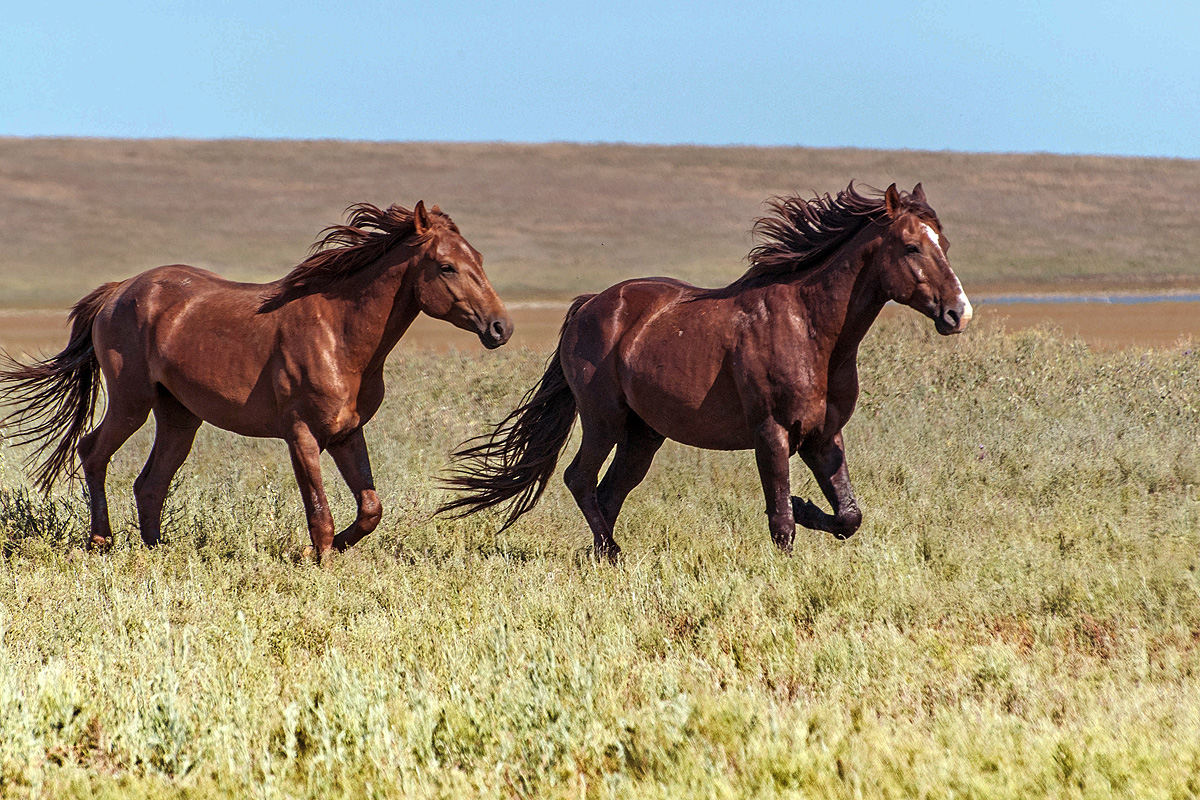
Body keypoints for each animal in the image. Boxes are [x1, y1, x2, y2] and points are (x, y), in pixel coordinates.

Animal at [0, 200, 511, 554]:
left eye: (482, 259)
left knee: (149, 484)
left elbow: (370, 509)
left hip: (179, 416)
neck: (339, 333)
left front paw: (334, 548)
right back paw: (101, 542)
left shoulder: (347, 433)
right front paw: (315, 559)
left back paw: (157, 552)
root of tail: (118, 290)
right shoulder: (301, 435)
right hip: (132, 402)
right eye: (446, 266)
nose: (500, 328)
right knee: (93, 452)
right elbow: (320, 514)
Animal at [441, 182, 974, 561]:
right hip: (604, 420)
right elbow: (780, 519)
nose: (959, 313)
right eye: (911, 247)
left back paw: (603, 557)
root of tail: (588, 304)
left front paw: (809, 507)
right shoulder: (771, 433)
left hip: (643, 435)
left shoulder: (824, 436)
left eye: (945, 243)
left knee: (608, 492)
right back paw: (612, 554)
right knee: (579, 479)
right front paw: (794, 528)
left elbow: (849, 515)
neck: (810, 329)